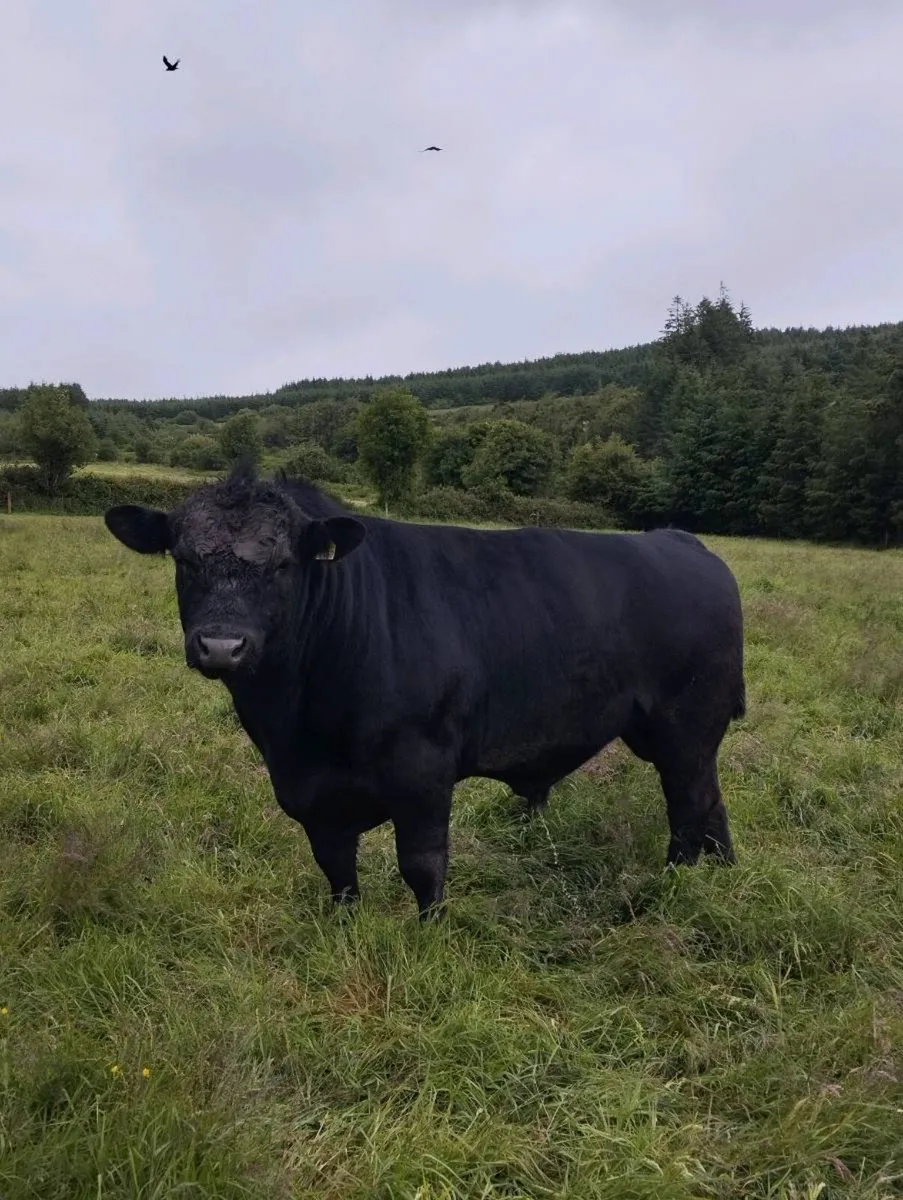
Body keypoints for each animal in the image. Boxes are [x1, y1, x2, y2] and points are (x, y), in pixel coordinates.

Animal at [104, 464, 746, 920]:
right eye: (184, 559)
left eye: (283, 564)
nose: (221, 645)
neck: (298, 726)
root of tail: (680, 542)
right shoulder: (307, 790)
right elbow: (335, 868)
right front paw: (343, 929)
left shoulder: (423, 769)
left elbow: (422, 866)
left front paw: (429, 938)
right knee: (711, 805)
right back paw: (722, 880)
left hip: (687, 725)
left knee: (690, 807)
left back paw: (671, 889)